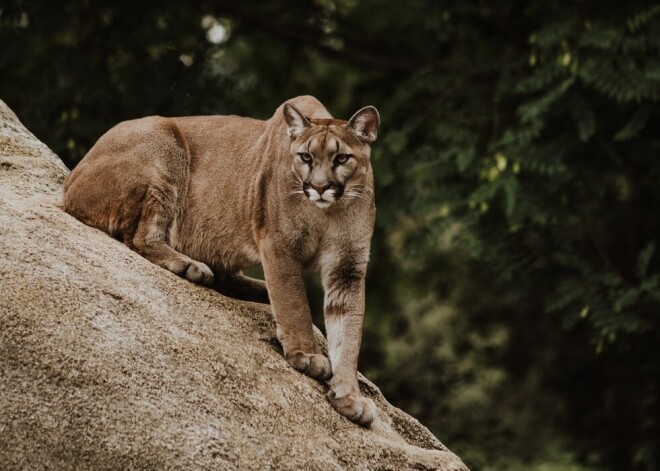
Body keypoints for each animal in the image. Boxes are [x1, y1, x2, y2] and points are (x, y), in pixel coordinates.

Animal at [63, 96, 382, 428]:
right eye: (305, 157)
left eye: (342, 158)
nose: (319, 188)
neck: (328, 211)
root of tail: (69, 183)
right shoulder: (279, 245)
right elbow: (294, 304)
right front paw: (307, 356)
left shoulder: (347, 268)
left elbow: (348, 333)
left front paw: (349, 397)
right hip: (164, 144)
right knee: (140, 237)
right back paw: (191, 267)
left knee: (225, 275)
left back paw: (253, 289)